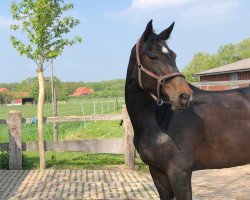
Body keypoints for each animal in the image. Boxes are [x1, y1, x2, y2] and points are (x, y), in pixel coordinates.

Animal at [125, 19, 250, 199]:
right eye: (153, 57)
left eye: (174, 55)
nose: (184, 96)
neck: (160, 121)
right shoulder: (157, 173)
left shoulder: (180, 172)